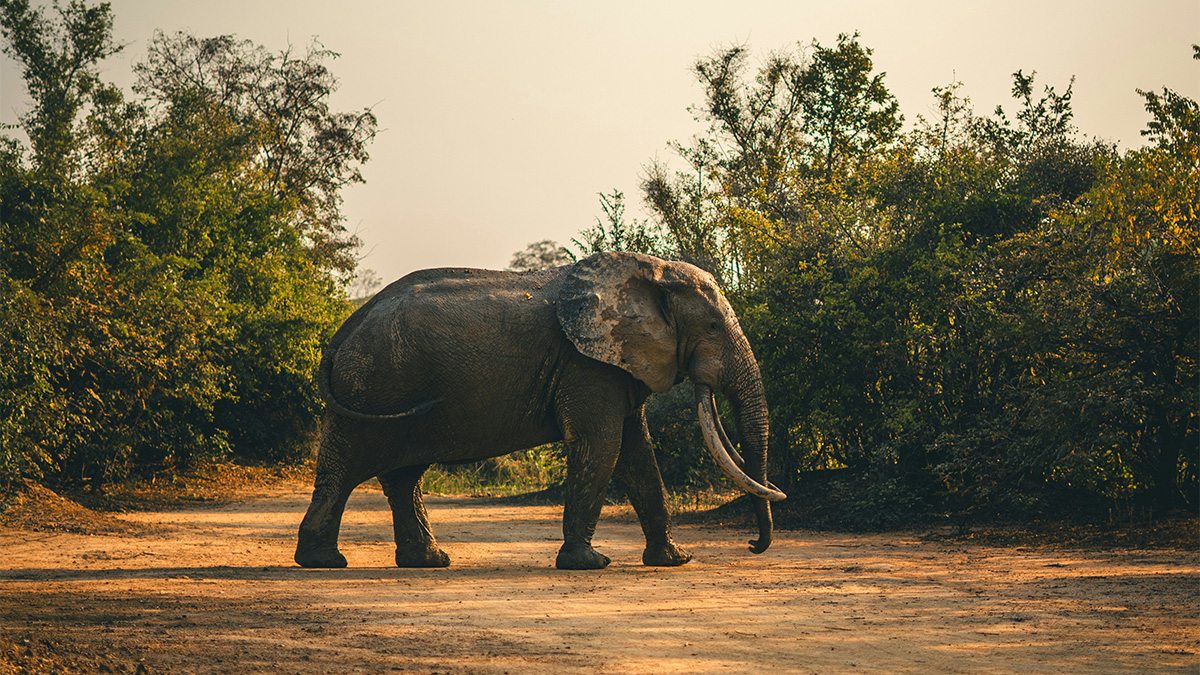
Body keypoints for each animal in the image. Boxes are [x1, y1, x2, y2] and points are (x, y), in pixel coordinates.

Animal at [294, 251, 785, 571]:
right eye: (713, 326)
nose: (752, 545)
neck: (649, 271)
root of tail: (347, 327)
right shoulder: (586, 365)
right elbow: (602, 445)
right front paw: (590, 564)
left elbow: (637, 454)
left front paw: (675, 561)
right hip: (373, 382)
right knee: (345, 467)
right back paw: (324, 562)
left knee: (403, 476)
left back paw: (428, 562)